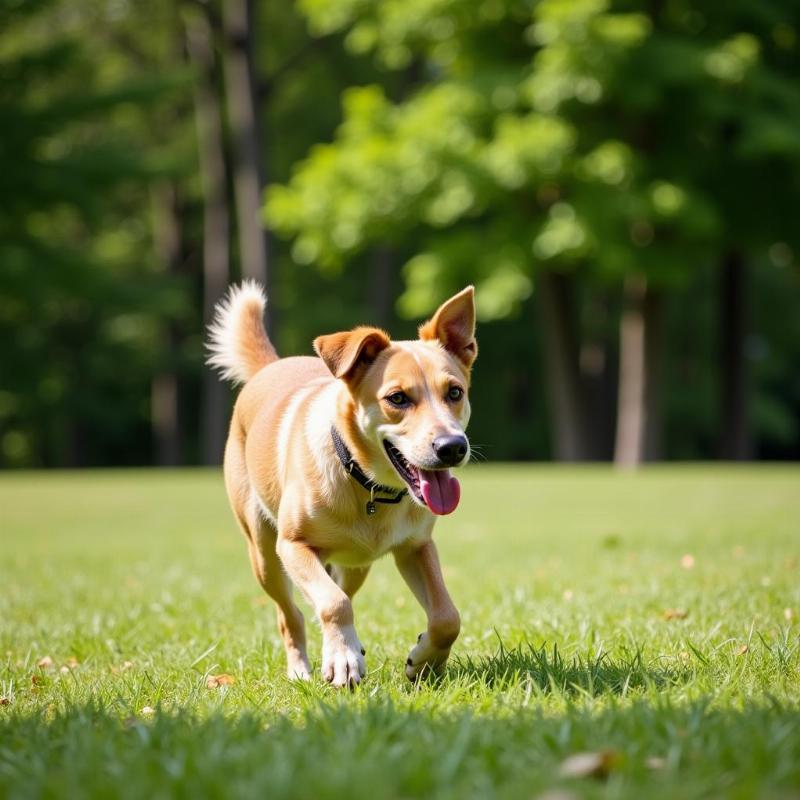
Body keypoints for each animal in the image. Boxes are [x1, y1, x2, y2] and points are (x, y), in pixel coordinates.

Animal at [209, 282, 478, 688]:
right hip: (264, 553)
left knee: (337, 589)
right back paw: (301, 668)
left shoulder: (416, 546)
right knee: (292, 613)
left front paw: (423, 661)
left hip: (356, 565)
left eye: (455, 392)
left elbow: (448, 616)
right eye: (397, 398)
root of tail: (270, 366)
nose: (452, 447)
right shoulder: (293, 546)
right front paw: (343, 661)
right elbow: (333, 604)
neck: (368, 486)